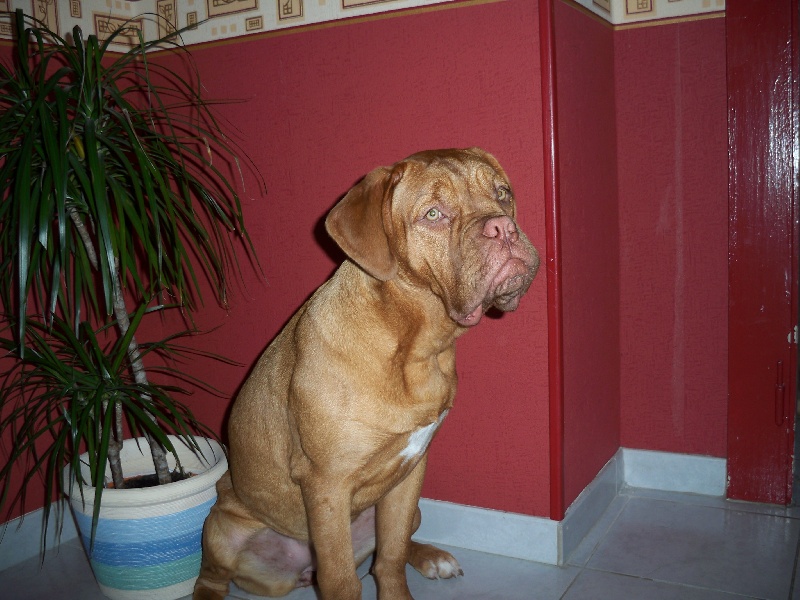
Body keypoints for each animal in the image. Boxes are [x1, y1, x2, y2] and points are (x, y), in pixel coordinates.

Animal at [194, 148, 540, 600]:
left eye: (502, 193)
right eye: (433, 213)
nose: (504, 228)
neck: (415, 347)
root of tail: (299, 572)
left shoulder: (411, 472)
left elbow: (390, 558)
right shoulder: (327, 485)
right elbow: (341, 580)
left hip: (408, 508)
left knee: (394, 546)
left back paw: (432, 557)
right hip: (221, 529)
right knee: (210, 577)